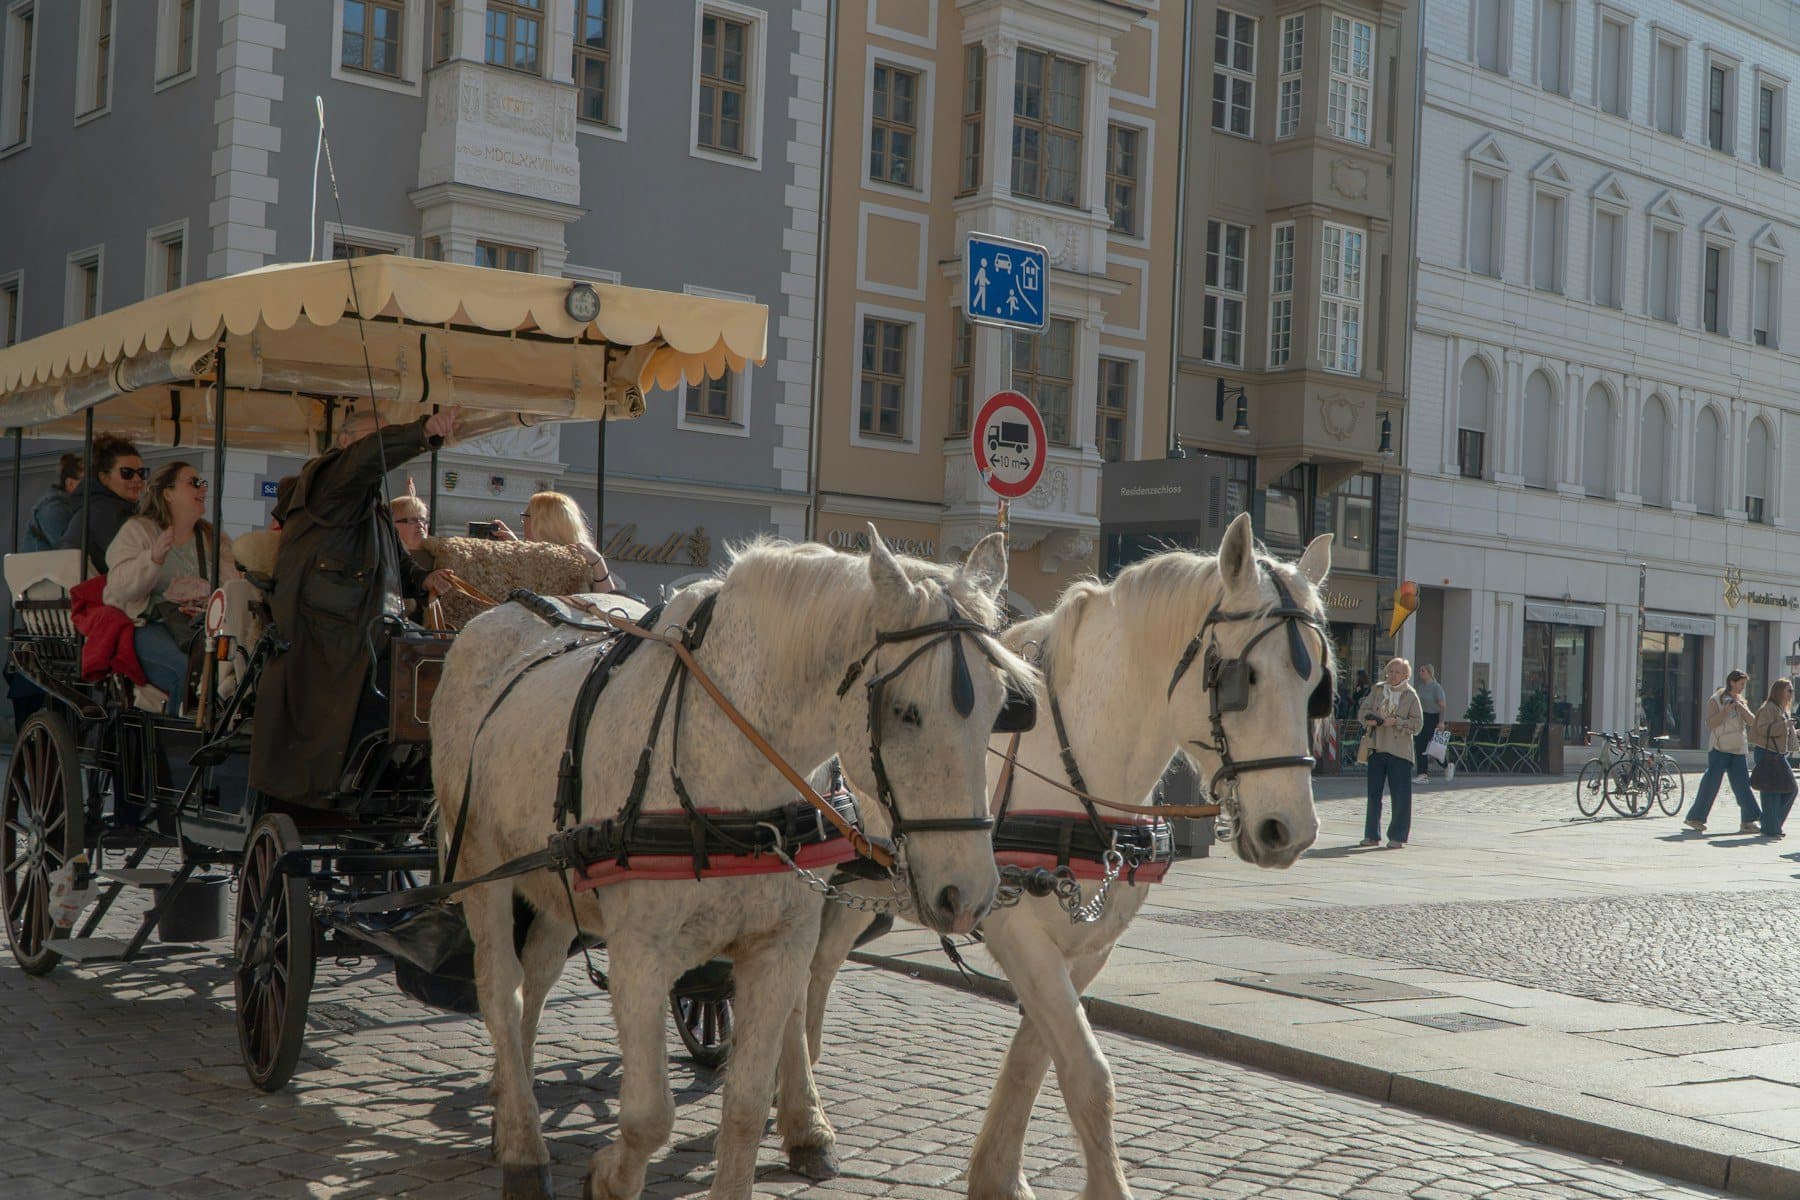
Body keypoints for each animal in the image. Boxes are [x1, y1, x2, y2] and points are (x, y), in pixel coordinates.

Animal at [431, 530, 1039, 1200]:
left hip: (561, 873)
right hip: (481, 861)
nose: (970, 892)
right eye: (905, 711)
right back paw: (521, 1142)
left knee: (537, 971)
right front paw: (610, 1177)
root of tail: (495, 617)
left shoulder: (778, 945)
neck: (732, 764)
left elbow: (745, 1105)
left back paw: (508, 1095)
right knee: (501, 987)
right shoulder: (639, 954)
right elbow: (650, 1115)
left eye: (1000, 711)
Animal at [773, 512, 1333, 1199]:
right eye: (1241, 677)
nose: (1291, 830)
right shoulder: (1015, 927)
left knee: (821, 967)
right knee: (794, 980)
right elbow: (1089, 1075)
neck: (1075, 766)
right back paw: (804, 1118)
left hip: (867, 884)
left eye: (1316, 684)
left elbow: (1037, 1056)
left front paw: (998, 1174)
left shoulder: (1088, 945)